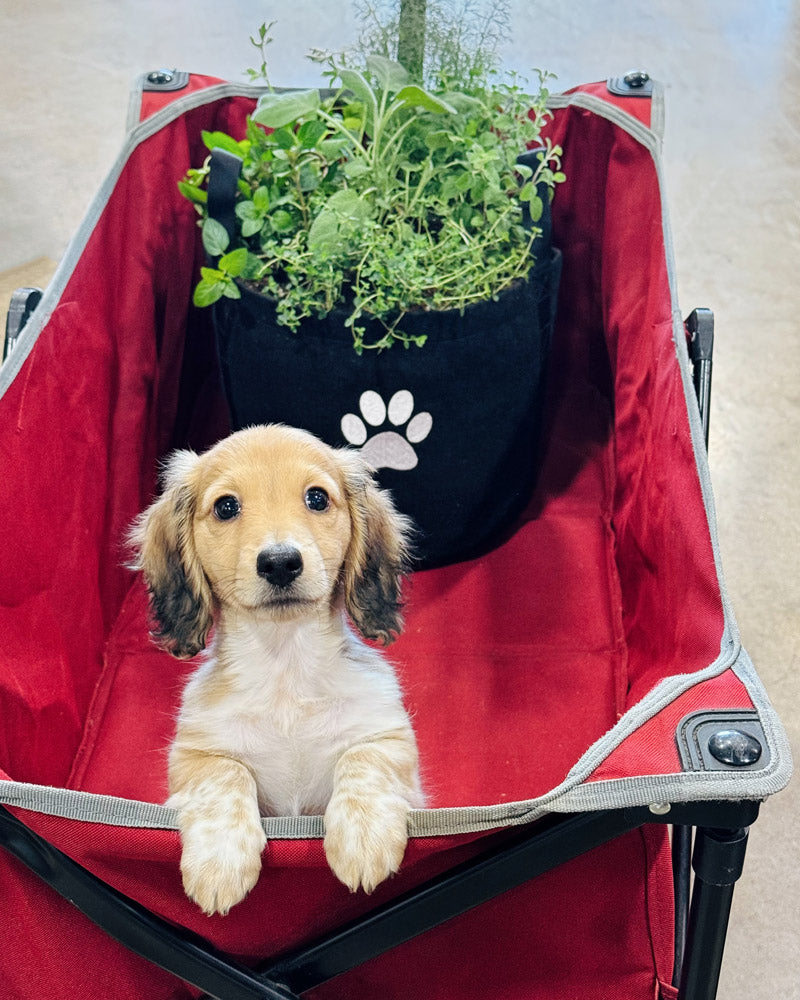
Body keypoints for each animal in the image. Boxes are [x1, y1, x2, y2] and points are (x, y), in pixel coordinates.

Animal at [128, 422, 422, 916]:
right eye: (226, 506)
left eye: (317, 498)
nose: (280, 562)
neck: (286, 674)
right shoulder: (195, 755)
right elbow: (226, 775)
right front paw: (221, 859)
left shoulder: (387, 737)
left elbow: (363, 760)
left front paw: (363, 835)